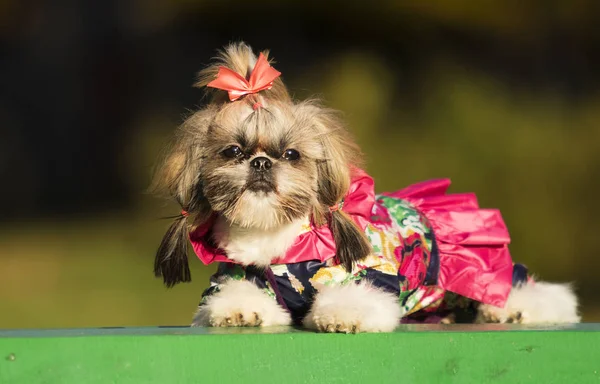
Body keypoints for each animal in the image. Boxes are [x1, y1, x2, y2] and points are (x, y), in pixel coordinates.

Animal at [151, 41, 580, 330]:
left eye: (291, 154)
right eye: (233, 151)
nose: (260, 162)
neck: (279, 243)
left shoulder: (368, 272)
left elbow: (354, 297)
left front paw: (341, 316)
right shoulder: (243, 275)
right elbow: (240, 295)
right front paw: (238, 310)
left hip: (479, 268)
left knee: (529, 291)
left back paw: (513, 308)